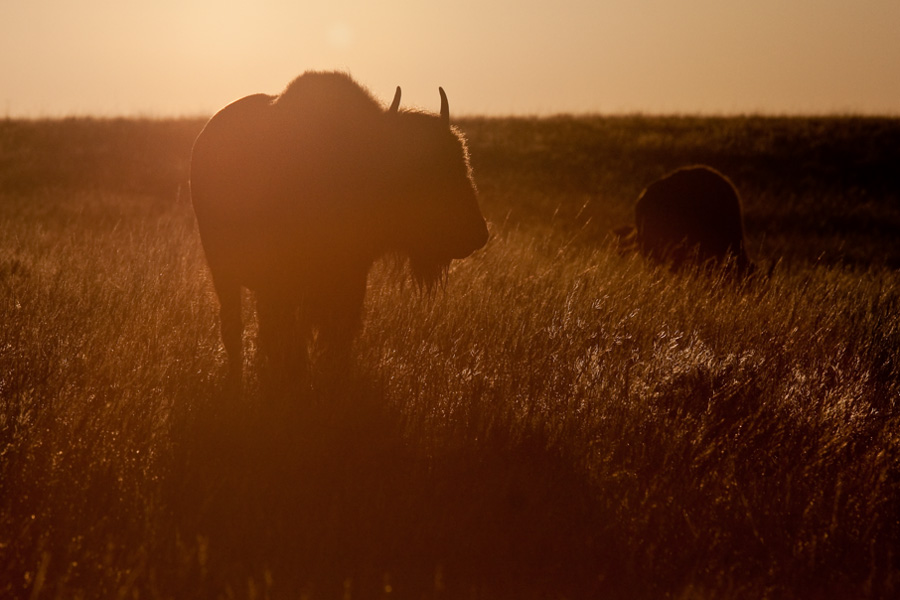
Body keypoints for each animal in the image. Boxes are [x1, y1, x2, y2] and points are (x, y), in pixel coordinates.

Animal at [188, 72, 486, 384]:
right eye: (421, 170)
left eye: (462, 161)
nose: (477, 234)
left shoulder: (350, 282)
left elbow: (335, 336)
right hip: (224, 274)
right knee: (235, 327)